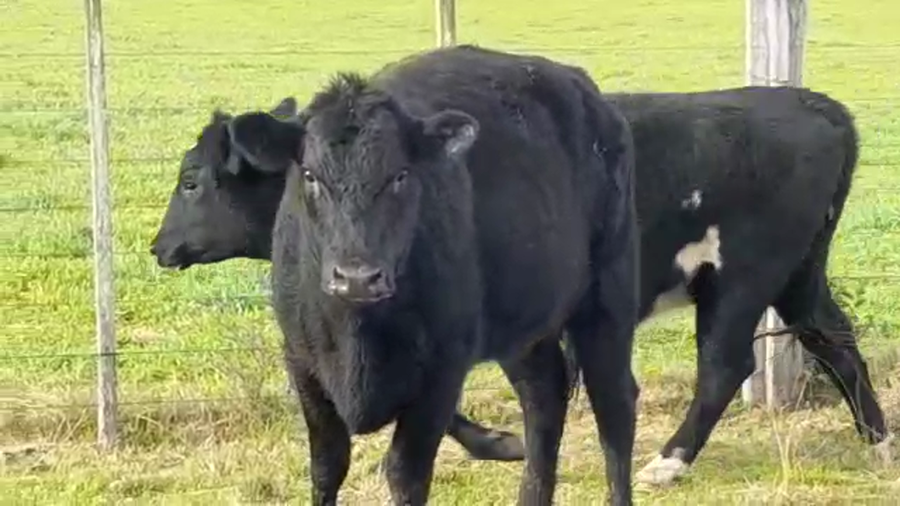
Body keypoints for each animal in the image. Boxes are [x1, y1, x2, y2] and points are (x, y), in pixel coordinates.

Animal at [152, 79, 893, 491]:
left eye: (190, 180)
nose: (159, 248)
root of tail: (809, 102)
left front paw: (498, 443)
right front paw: (503, 442)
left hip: (741, 278)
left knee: (724, 367)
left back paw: (668, 462)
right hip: (796, 273)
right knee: (834, 339)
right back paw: (879, 440)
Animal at [161, 45, 643, 505]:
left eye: (401, 175)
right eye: (310, 175)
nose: (357, 278)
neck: (357, 338)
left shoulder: (442, 370)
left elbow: (405, 473)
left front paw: (491, 442)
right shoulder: (303, 365)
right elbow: (326, 466)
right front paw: (498, 442)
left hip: (607, 301)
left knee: (614, 408)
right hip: (525, 327)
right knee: (543, 399)